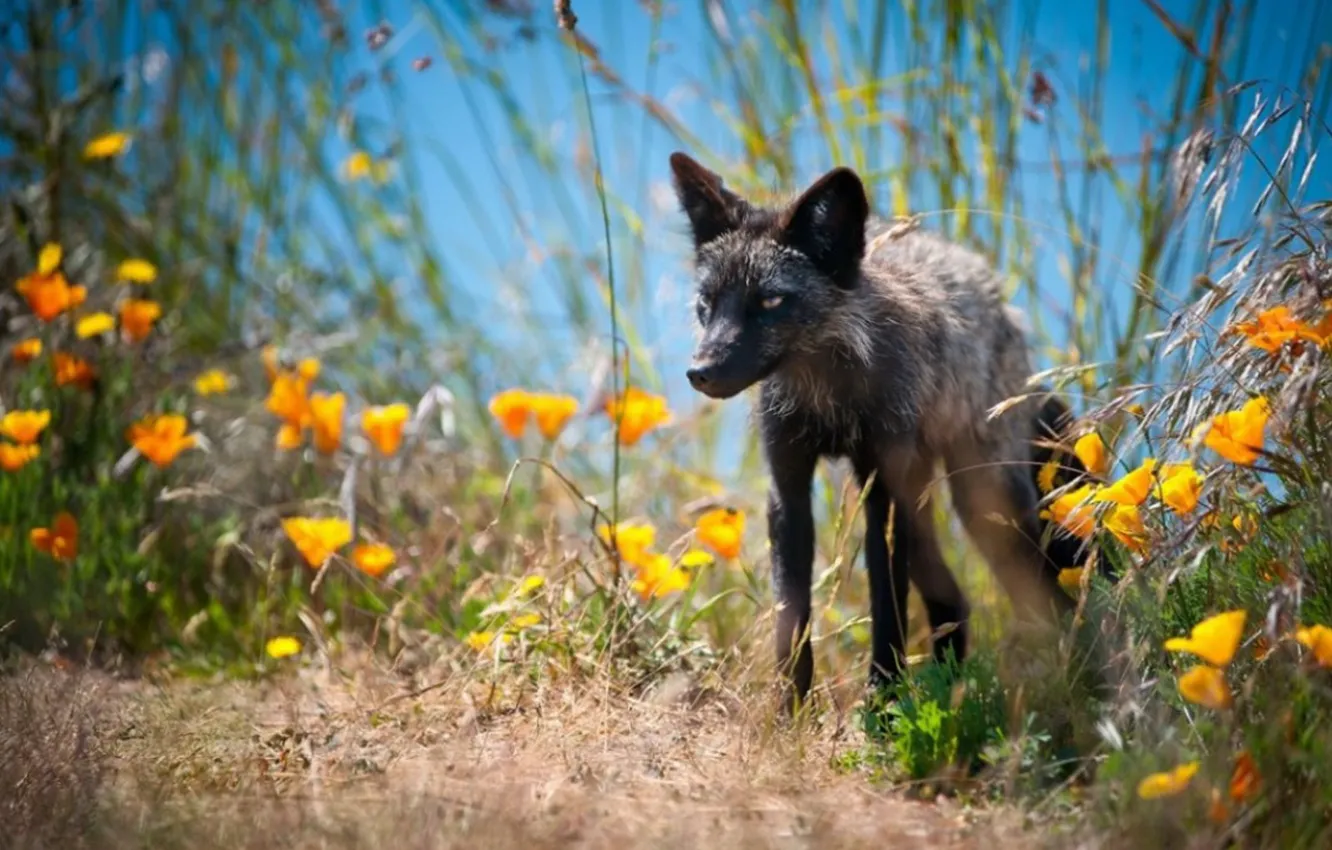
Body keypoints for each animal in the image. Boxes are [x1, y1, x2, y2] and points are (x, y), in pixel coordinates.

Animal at [668, 151, 1091, 711]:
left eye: (771, 302)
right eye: (707, 302)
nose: (700, 372)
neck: (829, 402)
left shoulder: (882, 496)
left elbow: (887, 610)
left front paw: (884, 705)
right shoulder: (788, 492)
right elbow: (791, 619)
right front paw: (789, 712)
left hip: (985, 503)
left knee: (1049, 590)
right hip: (930, 505)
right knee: (954, 602)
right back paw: (952, 685)